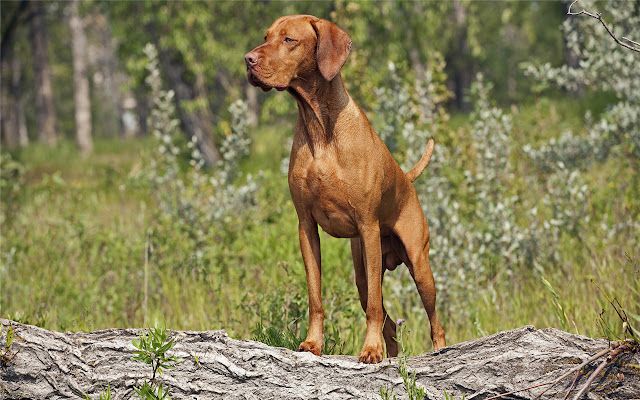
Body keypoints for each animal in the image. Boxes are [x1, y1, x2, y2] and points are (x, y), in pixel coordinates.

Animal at [245, 14, 444, 362]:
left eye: (289, 40)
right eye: (266, 37)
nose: (248, 60)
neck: (320, 126)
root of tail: (405, 178)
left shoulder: (367, 225)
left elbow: (376, 308)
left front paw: (370, 350)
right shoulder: (306, 227)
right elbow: (316, 297)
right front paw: (313, 343)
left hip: (418, 265)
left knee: (434, 321)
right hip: (362, 272)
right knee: (389, 324)